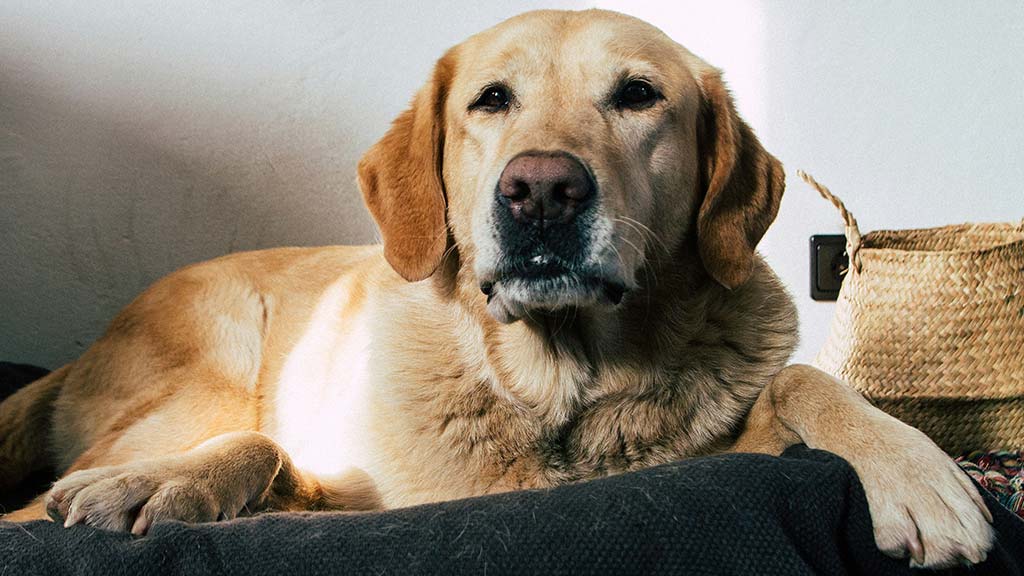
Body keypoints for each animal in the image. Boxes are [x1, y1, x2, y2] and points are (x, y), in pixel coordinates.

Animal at [0, 7, 991, 565]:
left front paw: (918, 472)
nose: (541, 190)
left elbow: (804, 380)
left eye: (638, 95)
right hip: (213, 364)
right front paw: (161, 487)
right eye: (490, 99)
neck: (557, 385)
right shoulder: (353, 488)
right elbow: (266, 449)